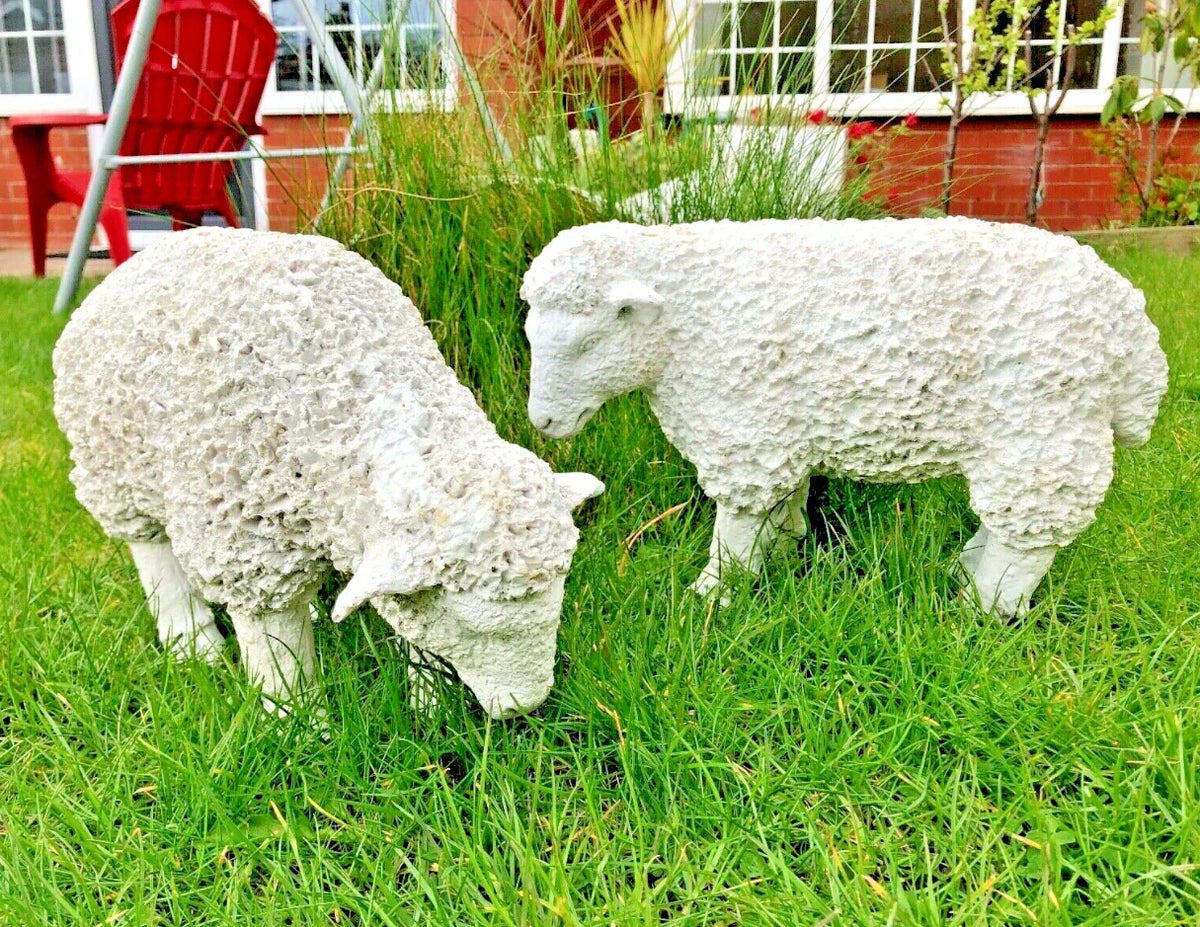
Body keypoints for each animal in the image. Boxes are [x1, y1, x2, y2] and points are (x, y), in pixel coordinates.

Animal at [54, 227, 603, 719]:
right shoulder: (242, 538)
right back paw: (193, 643)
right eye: (475, 626)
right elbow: (274, 644)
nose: (521, 708)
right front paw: (297, 725)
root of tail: (137, 260)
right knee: (153, 553)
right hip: (115, 467)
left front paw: (430, 704)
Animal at [520, 217, 1168, 617]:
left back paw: (981, 607)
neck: (683, 324)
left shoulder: (745, 430)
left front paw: (715, 592)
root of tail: (1135, 333)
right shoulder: (776, 432)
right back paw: (964, 569)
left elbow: (737, 527)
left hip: (1043, 426)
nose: (543, 424)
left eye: (587, 345)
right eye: (530, 334)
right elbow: (781, 507)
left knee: (1031, 535)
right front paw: (782, 557)